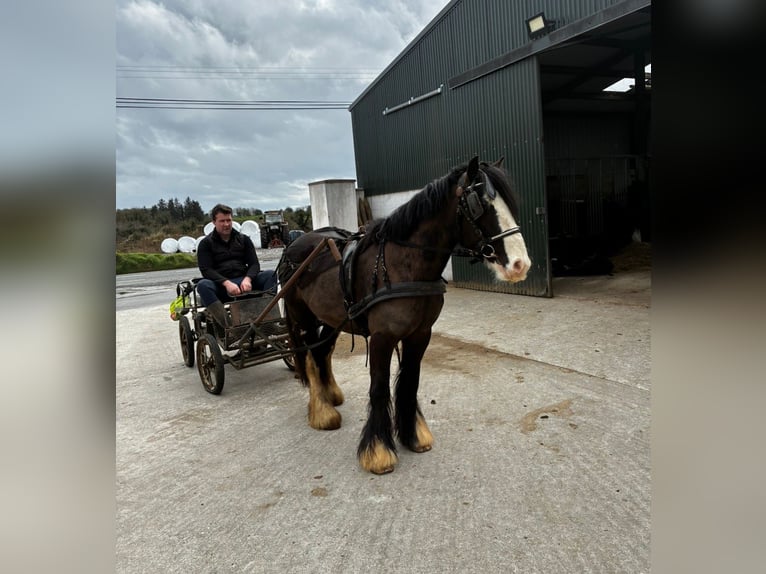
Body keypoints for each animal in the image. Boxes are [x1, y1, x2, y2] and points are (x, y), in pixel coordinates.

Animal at [277, 156, 531, 474]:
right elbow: (379, 388)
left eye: (509, 203)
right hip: (303, 316)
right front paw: (378, 451)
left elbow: (410, 382)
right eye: (479, 203)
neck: (403, 264)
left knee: (323, 352)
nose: (520, 265)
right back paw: (322, 412)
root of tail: (293, 245)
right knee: (309, 357)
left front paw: (413, 436)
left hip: (331, 319)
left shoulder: (420, 335)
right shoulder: (382, 338)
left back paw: (331, 396)